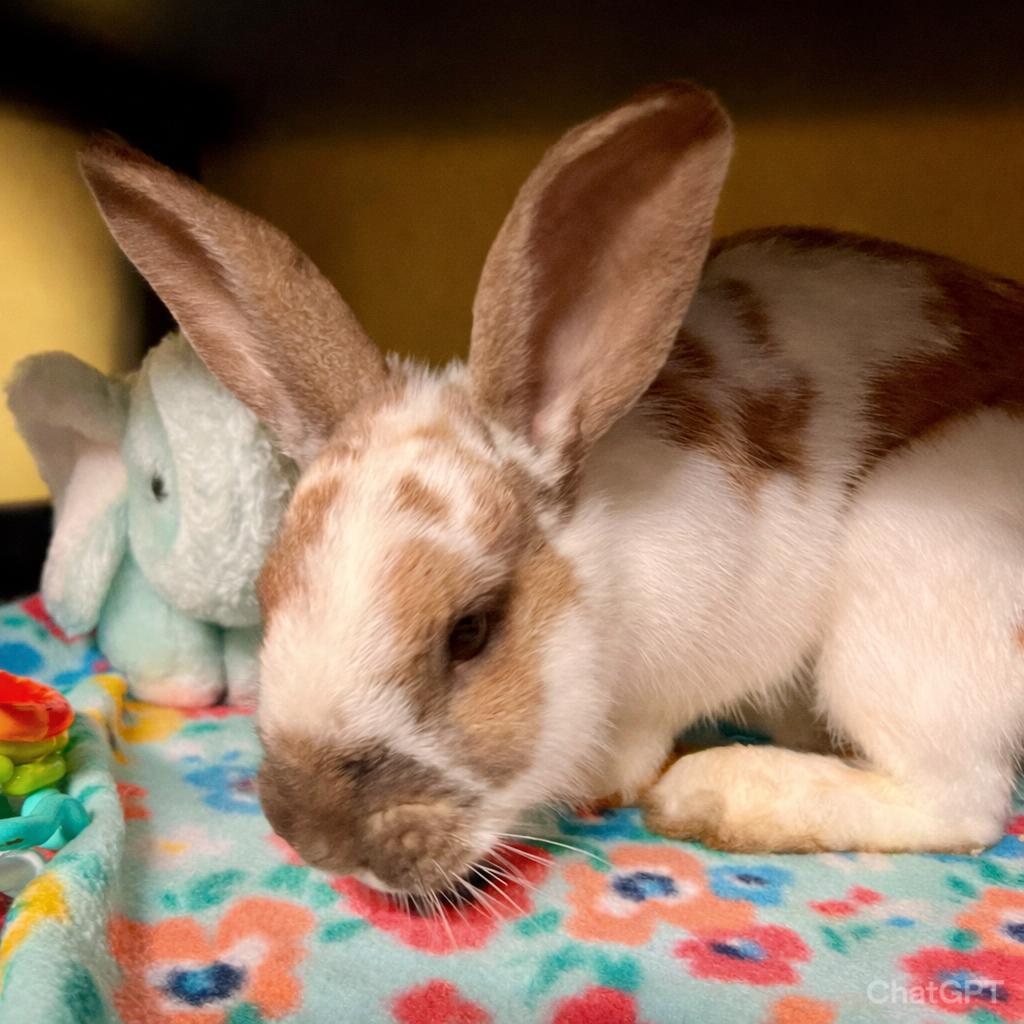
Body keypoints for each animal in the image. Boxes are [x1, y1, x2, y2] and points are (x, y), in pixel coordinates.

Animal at [74, 80, 1024, 896]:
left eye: (471, 632)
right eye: (267, 596)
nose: (318, 838)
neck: (607, 575)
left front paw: (612, 777)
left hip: (906, 594)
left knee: (959, 802)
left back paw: (717, 794)